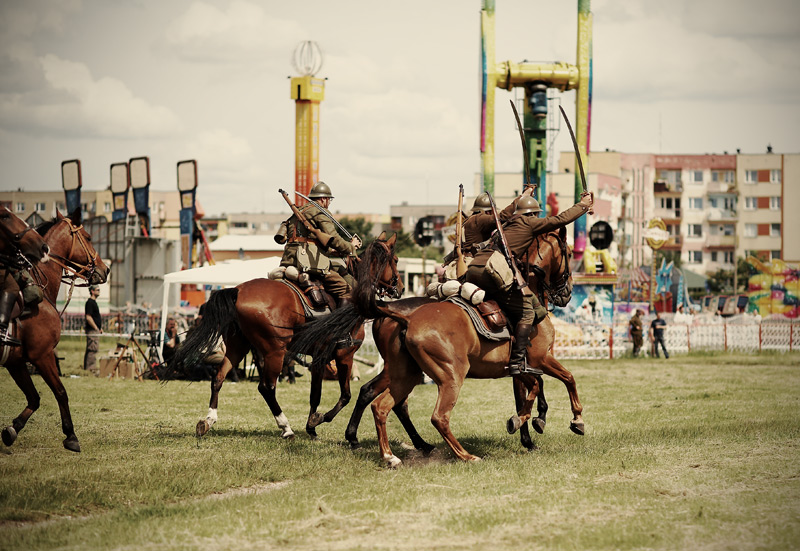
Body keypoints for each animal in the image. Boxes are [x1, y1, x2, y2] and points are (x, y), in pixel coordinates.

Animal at [1, 211, 109, 452]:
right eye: (88, 237)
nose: (105, 269)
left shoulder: (16, 361)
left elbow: (34, 398)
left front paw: (13, 429)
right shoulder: (42, 355)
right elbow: (60, 392)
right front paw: (71, 435)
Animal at [173, 234, 404, 444]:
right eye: (396, 260)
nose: (400, 289)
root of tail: (238, 290)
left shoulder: (320, 357)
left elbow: (315, 394)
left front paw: (311, 427)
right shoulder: (344, 355)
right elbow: (345, 396)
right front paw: (320, 420)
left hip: (237, 347)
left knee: (219, 378)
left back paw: (208, 421)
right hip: (275, 352)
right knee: (266, 387)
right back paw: (286, 428)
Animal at [332, 229, 580, 466]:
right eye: (568, 253)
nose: (568, 293)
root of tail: (404, 317)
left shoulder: (521, 368)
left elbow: (534, 388)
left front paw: (529, 423)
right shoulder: (540, 359)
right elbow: (565, 379)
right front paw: (570, 420)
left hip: (405, 374)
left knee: (380, 403)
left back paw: (390, 452)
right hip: (451, 376)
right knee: (437, 416)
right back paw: (464, 455)